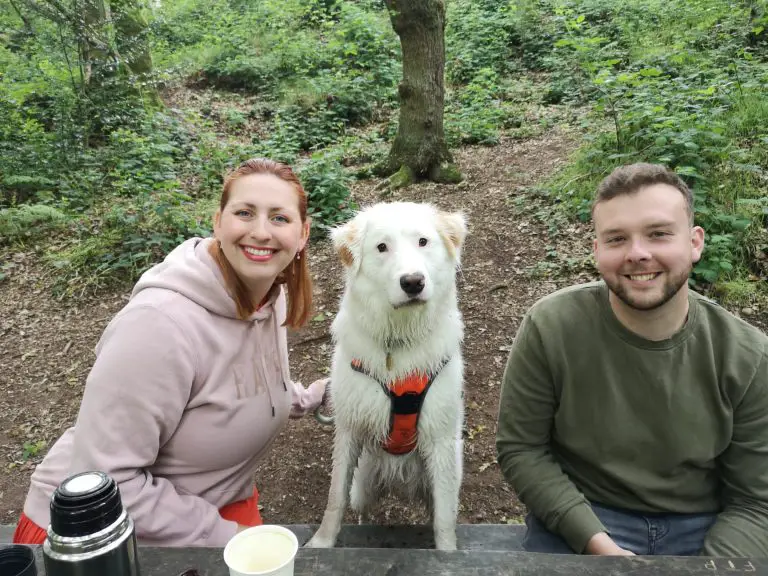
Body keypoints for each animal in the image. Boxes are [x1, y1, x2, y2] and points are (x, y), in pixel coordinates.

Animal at [308, 200, 468, 552]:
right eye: (382, 247)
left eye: (423, 241)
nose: (413, 282)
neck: (397, 342)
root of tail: (399, 475)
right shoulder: (349, 427)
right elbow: (334, 498)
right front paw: (322, 541)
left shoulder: (439, 439)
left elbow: (444, 520)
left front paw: (447, 552)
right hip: (364, 485)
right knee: (360, 508)